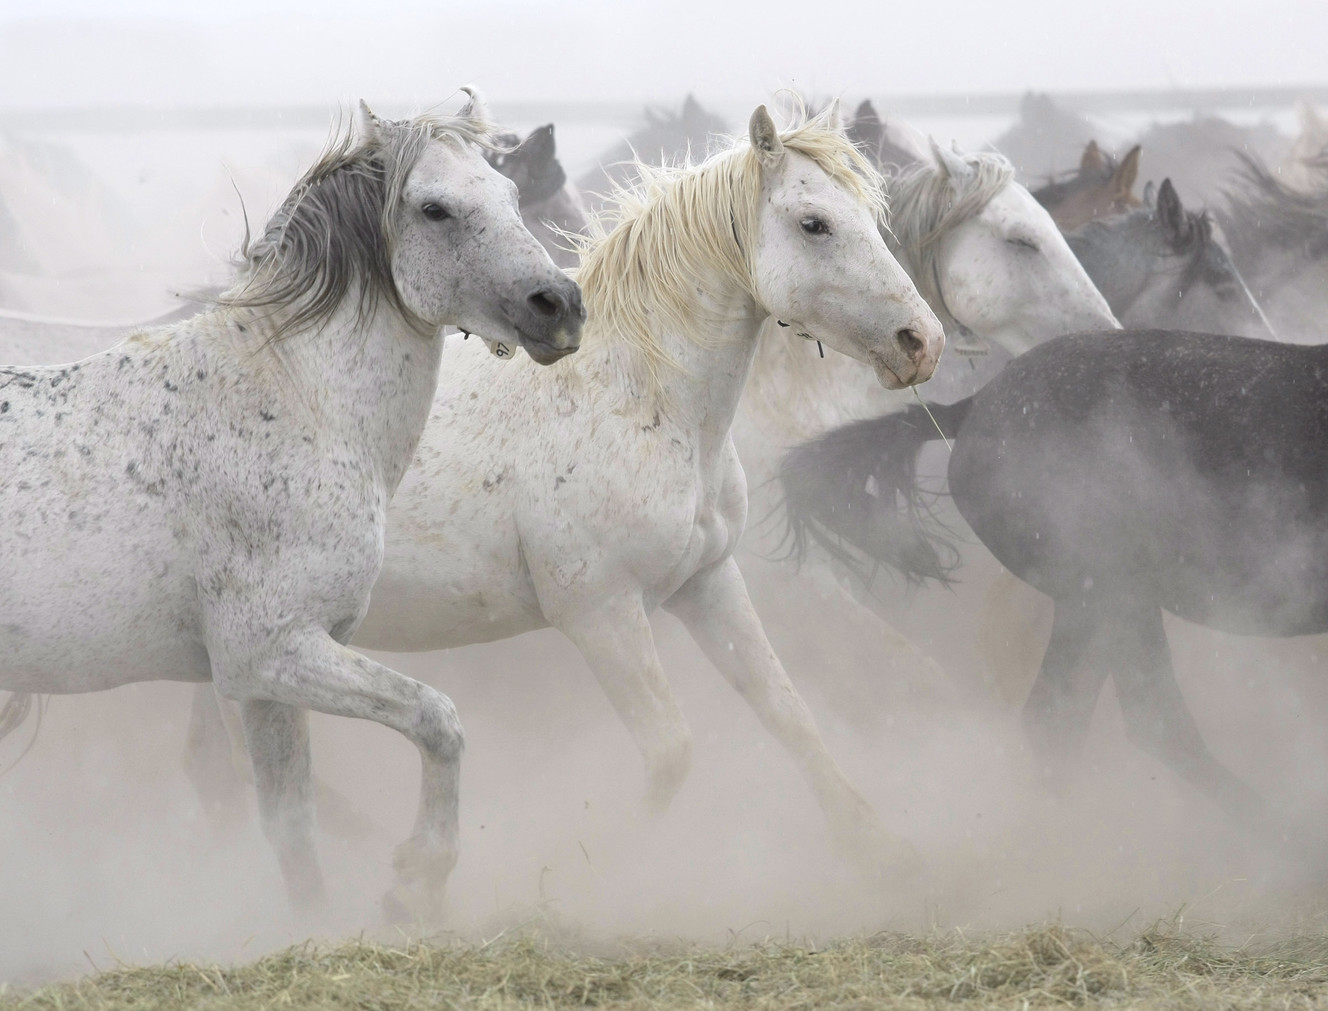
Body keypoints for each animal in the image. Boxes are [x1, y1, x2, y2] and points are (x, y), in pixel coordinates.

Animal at [0, 93, 586, 920]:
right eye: (435, 208)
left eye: (508, 195)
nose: (560, 305)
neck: (290, 401)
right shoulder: (274, 653)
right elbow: (436, 720)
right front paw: (417, 879)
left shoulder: (266, 684)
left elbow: (291, 825)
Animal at [185, 101, 946, 887]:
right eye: (814, 223)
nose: (921, 340)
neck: (637, 396)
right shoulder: (600, 614)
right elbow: (672, 751)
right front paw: (573, 871)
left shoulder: (708, 581)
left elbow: (786, 712)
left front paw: (880, 850)